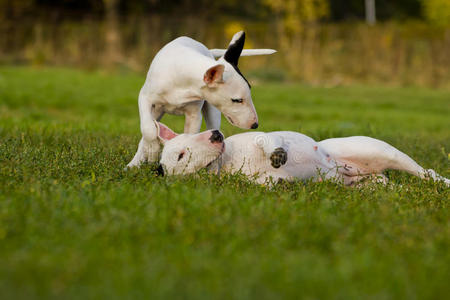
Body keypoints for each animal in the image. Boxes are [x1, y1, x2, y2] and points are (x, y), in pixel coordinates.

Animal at [125, 31, 274, 168]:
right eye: (237, 100)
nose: (255, 125)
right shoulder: (145, 98)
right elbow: (148, 128)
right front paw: (152, 151)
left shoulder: (194, 115)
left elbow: (190, 138)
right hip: (157, 110)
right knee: (146, 133)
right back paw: (134, 164)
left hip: (213, 112)